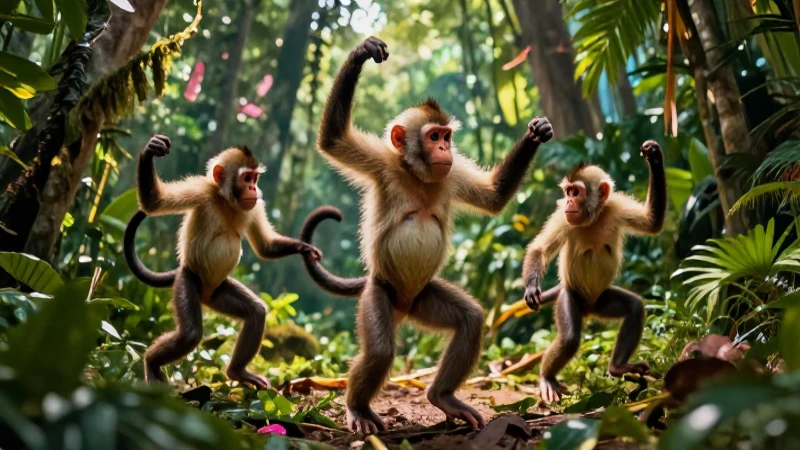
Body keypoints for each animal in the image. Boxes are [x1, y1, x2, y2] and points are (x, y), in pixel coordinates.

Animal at [123, 135, 322, 388]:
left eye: (254, 178)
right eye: (247, 178)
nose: (253, 188)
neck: (227, 201)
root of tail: (206, 294)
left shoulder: (254, 204)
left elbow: (265, 247)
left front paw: (304, 248)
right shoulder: (202, 190)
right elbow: (154, 202)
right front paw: (150, 150)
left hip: (219, 291)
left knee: (256, 311)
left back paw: (237, 372)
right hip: (188, 279)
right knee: (190, 334)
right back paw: (151, 362)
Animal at [299, 36, 553, 434]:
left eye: (447, 137)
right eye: (433, 136)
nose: (445, 149)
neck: (418, 176)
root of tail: (404, 305)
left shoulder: (451, 174)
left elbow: (494, 196)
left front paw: (535, 134)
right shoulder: (385, 165)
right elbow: (333, 141)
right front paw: (361, 54)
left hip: (422, 299)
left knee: (470, 319)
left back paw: (441, 396)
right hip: (380, 291)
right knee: (381, 349)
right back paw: (357, 407)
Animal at [521, 140, 667, 404]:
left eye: (575, 193)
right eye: (568, 193)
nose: (569, 202)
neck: (592, 218)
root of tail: (588, 307)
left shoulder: (615, 207)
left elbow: (652, 223)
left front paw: (654, 157)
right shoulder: (563, 217)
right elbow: (540, 249)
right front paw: (531, 288)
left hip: (602, 301)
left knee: (634, 307)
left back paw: (618, 367)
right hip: (571, 296)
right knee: (570, 338)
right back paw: (547, 377)